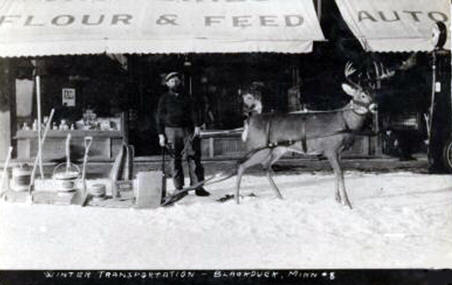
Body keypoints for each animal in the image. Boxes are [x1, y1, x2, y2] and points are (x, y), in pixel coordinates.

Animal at [237, 62, 388, 209]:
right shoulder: (330, 148)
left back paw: (279, 196)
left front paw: (337, 199)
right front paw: (348, 203)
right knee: (242, 165)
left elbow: (336, 173)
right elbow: (340, 173)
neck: (345, 122)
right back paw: (237, 199)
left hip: (277, 149)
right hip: (257, 146)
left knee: (265, 166)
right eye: (362, 95)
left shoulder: (338, 152)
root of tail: (250, 121)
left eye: (373, 94)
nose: (375, 107)